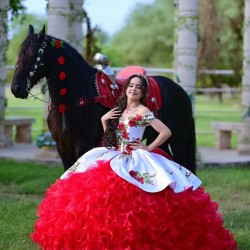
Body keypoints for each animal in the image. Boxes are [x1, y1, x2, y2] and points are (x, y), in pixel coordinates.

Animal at [10, 25, 196, 174]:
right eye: (20, 53)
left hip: (178, 141)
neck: (72, 101)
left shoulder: (83, 146)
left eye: (34, 54)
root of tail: (182, 92)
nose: (16, 88)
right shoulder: (62, 147)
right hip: (158, 139)